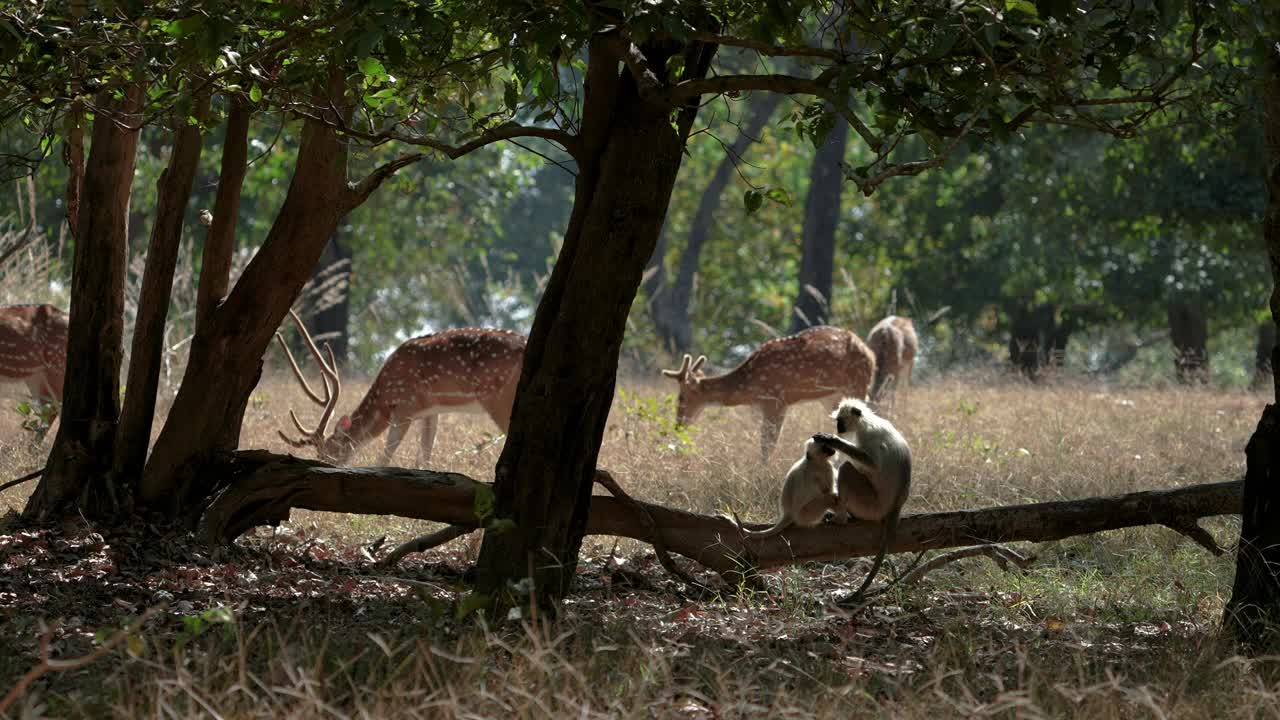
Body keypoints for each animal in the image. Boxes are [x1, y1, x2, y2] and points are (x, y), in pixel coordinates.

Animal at [275, 310, 524, 466]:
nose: (327, 466)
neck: (383, 400)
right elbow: (425, 456)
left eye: (329, 452)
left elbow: (385, 457)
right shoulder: (431, 410)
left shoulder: (405, 406)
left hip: (499, 398)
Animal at [660, 325, 880, 458]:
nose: (678, 425)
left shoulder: (777, 400)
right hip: (832, 397)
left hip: (858, 384)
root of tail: (871, 355)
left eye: (682, 396)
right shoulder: (763, 405)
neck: (749, 387)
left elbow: (768, 445)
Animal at [808, 394, 911, 597]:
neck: (868, 421)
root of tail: (896, 506)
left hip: (870, 506)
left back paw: (842, 518)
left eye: (840, 421)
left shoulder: (868, 435)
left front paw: (833, 441)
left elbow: (870, 464)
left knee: (847, 469)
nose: (838, 428)